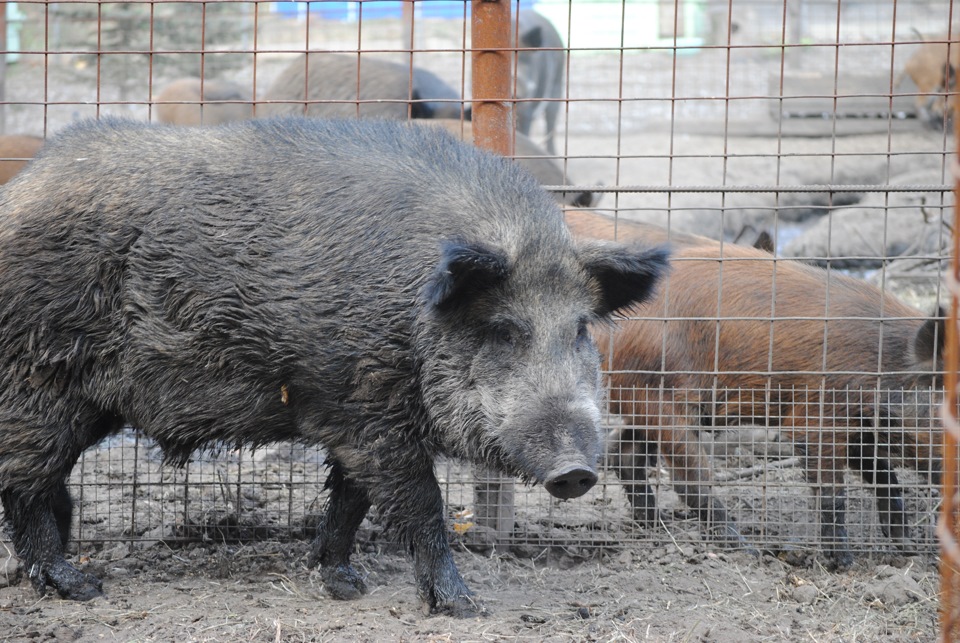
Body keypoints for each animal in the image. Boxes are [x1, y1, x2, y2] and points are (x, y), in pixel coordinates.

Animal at [0, 118, 668, 616]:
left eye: (579, 328)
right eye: (504, 329)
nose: (576, 470)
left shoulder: (353, 418)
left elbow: (351, 501)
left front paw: (346, 585)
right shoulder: (370, 408)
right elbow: (421, 505)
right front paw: (463, 607)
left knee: (44, 483)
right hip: (37, 379)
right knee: (23, 483)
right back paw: (80, 586)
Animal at [564, 211, 944, 568]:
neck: (884, 362)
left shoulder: (860, 427)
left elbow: (885, 476)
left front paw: (907, 547)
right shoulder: (816, 415)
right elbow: (833, 491)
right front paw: (844, 563)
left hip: (646, 396)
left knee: (625, 451)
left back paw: (655, 526)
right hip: (660, 393)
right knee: (690, 478)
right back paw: (745, 549)